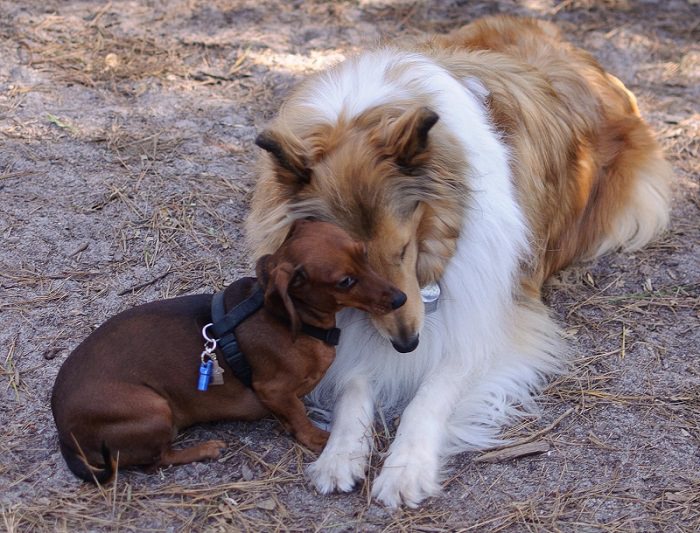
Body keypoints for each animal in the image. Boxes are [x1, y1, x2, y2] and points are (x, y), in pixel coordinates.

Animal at [243, 15, 668, 508]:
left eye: (402, 250)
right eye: (344, 277)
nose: (407, 344)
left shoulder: (492, 321)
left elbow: (430, 393)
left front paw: (406, 468)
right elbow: (355, 382)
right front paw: (341, 453)